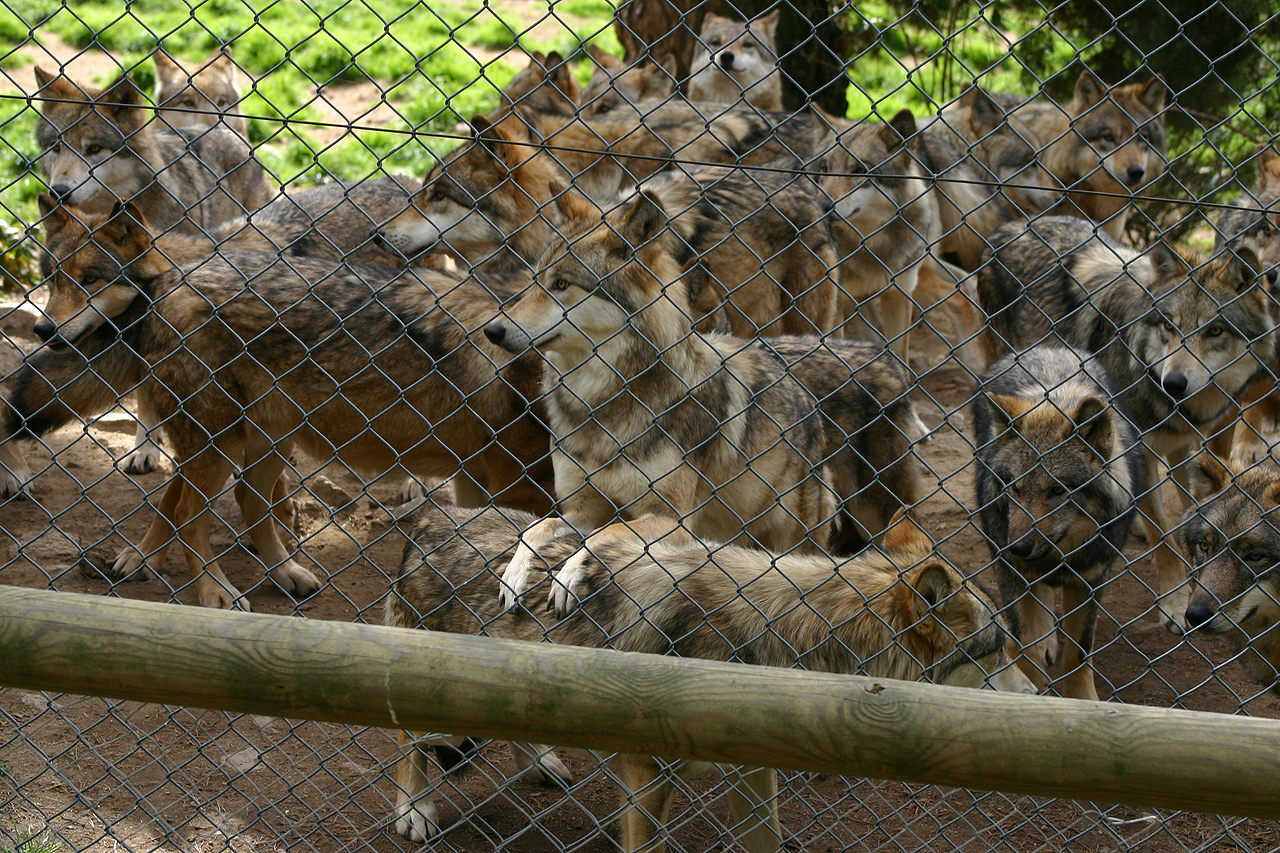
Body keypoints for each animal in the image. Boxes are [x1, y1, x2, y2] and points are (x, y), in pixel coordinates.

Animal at [3, 202, 555, 607]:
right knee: (190, 512)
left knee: (245, 497)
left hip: (263, 437)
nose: (44, 330)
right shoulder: (521, 486)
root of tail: (166, 282)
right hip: (222, 439)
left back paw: (283, 573)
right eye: (55, 279)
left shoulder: (481, 481)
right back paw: (214, 593)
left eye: (89, 280)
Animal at [384, 502, 1034, 845]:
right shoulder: (646, 772)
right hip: (425, 699)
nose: (1036, 691)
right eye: (998, 651)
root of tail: (434, 515)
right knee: (409, 745)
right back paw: (415, 812)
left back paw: (541, 763)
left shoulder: (755, 770)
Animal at [972, 345, 1146, 696]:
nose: (1017, 547)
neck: (1058, 557)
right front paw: (1033, 687)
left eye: (1056, 490)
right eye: (1015, 488)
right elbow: (1024, 643)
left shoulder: (1091, 581)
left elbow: (1079, 654)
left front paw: (1082, 698)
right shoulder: (1011, 571)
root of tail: (1046, 348)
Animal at [977, 213, 1269, 625]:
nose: (1173, 382)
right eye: (1169, 326)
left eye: (1214, 331)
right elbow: (1163, 535)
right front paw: (1174, 601)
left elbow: (1198, 505)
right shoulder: (1140, 452)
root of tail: (1013, 223)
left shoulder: (1204, 436)